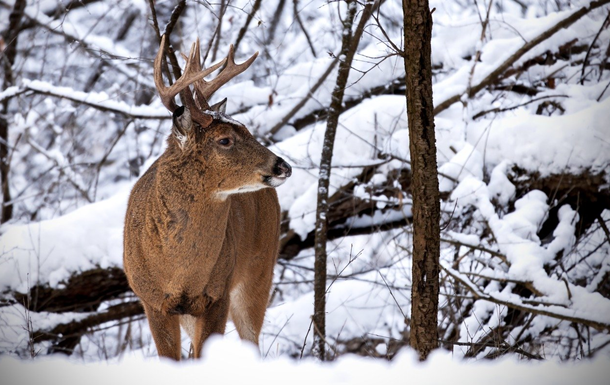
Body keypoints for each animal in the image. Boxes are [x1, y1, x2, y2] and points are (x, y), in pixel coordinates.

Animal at [123, 36, 290, 360]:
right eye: (224, 139)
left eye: (247, 129)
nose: (282, 166)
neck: (178, 271)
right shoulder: (152, 301)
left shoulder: (217, 294)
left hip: (259, 270)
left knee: (252, 339)